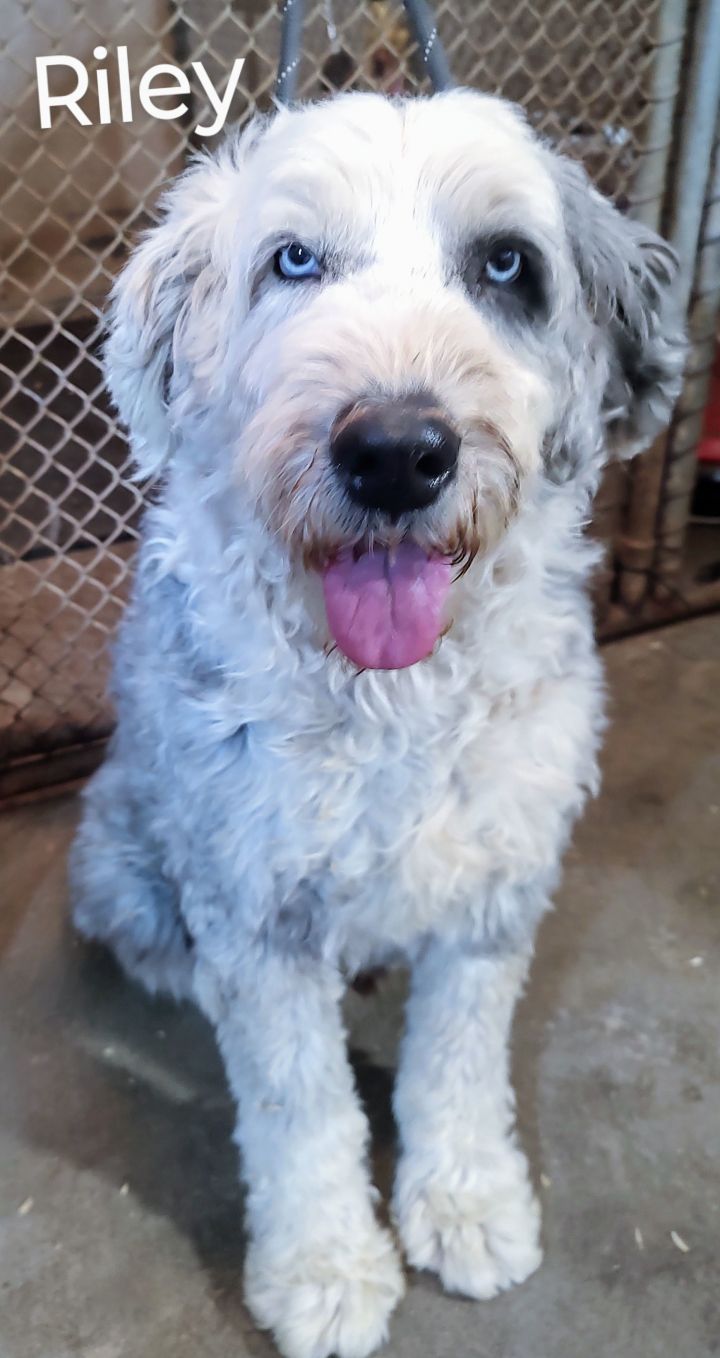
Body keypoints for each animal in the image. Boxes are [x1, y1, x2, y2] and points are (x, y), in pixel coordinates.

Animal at [69, 90, 681, 1352]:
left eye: (508, 263)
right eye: (293, 260)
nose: (396, 452)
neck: (394, 706)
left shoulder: (495, 893)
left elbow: (456, 1065)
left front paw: (468, 1204)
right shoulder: (258, 914)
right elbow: (298, 1106)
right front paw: (325, 1267)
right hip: (118, 856)